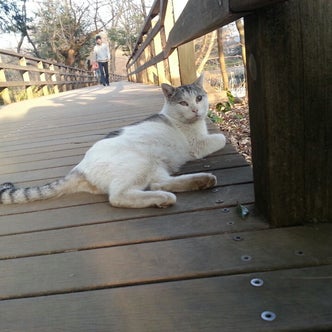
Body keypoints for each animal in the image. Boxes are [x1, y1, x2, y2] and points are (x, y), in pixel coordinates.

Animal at [0, 76, 226, 209]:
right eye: (183, 103)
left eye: (199, 98)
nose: (196, 110)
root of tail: (79, 168)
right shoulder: (198, 145)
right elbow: (222, 138)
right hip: (138, 163)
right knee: (118, 196)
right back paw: (164, 198)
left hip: (154, 166)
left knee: (158, 182)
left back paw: (202, 180)